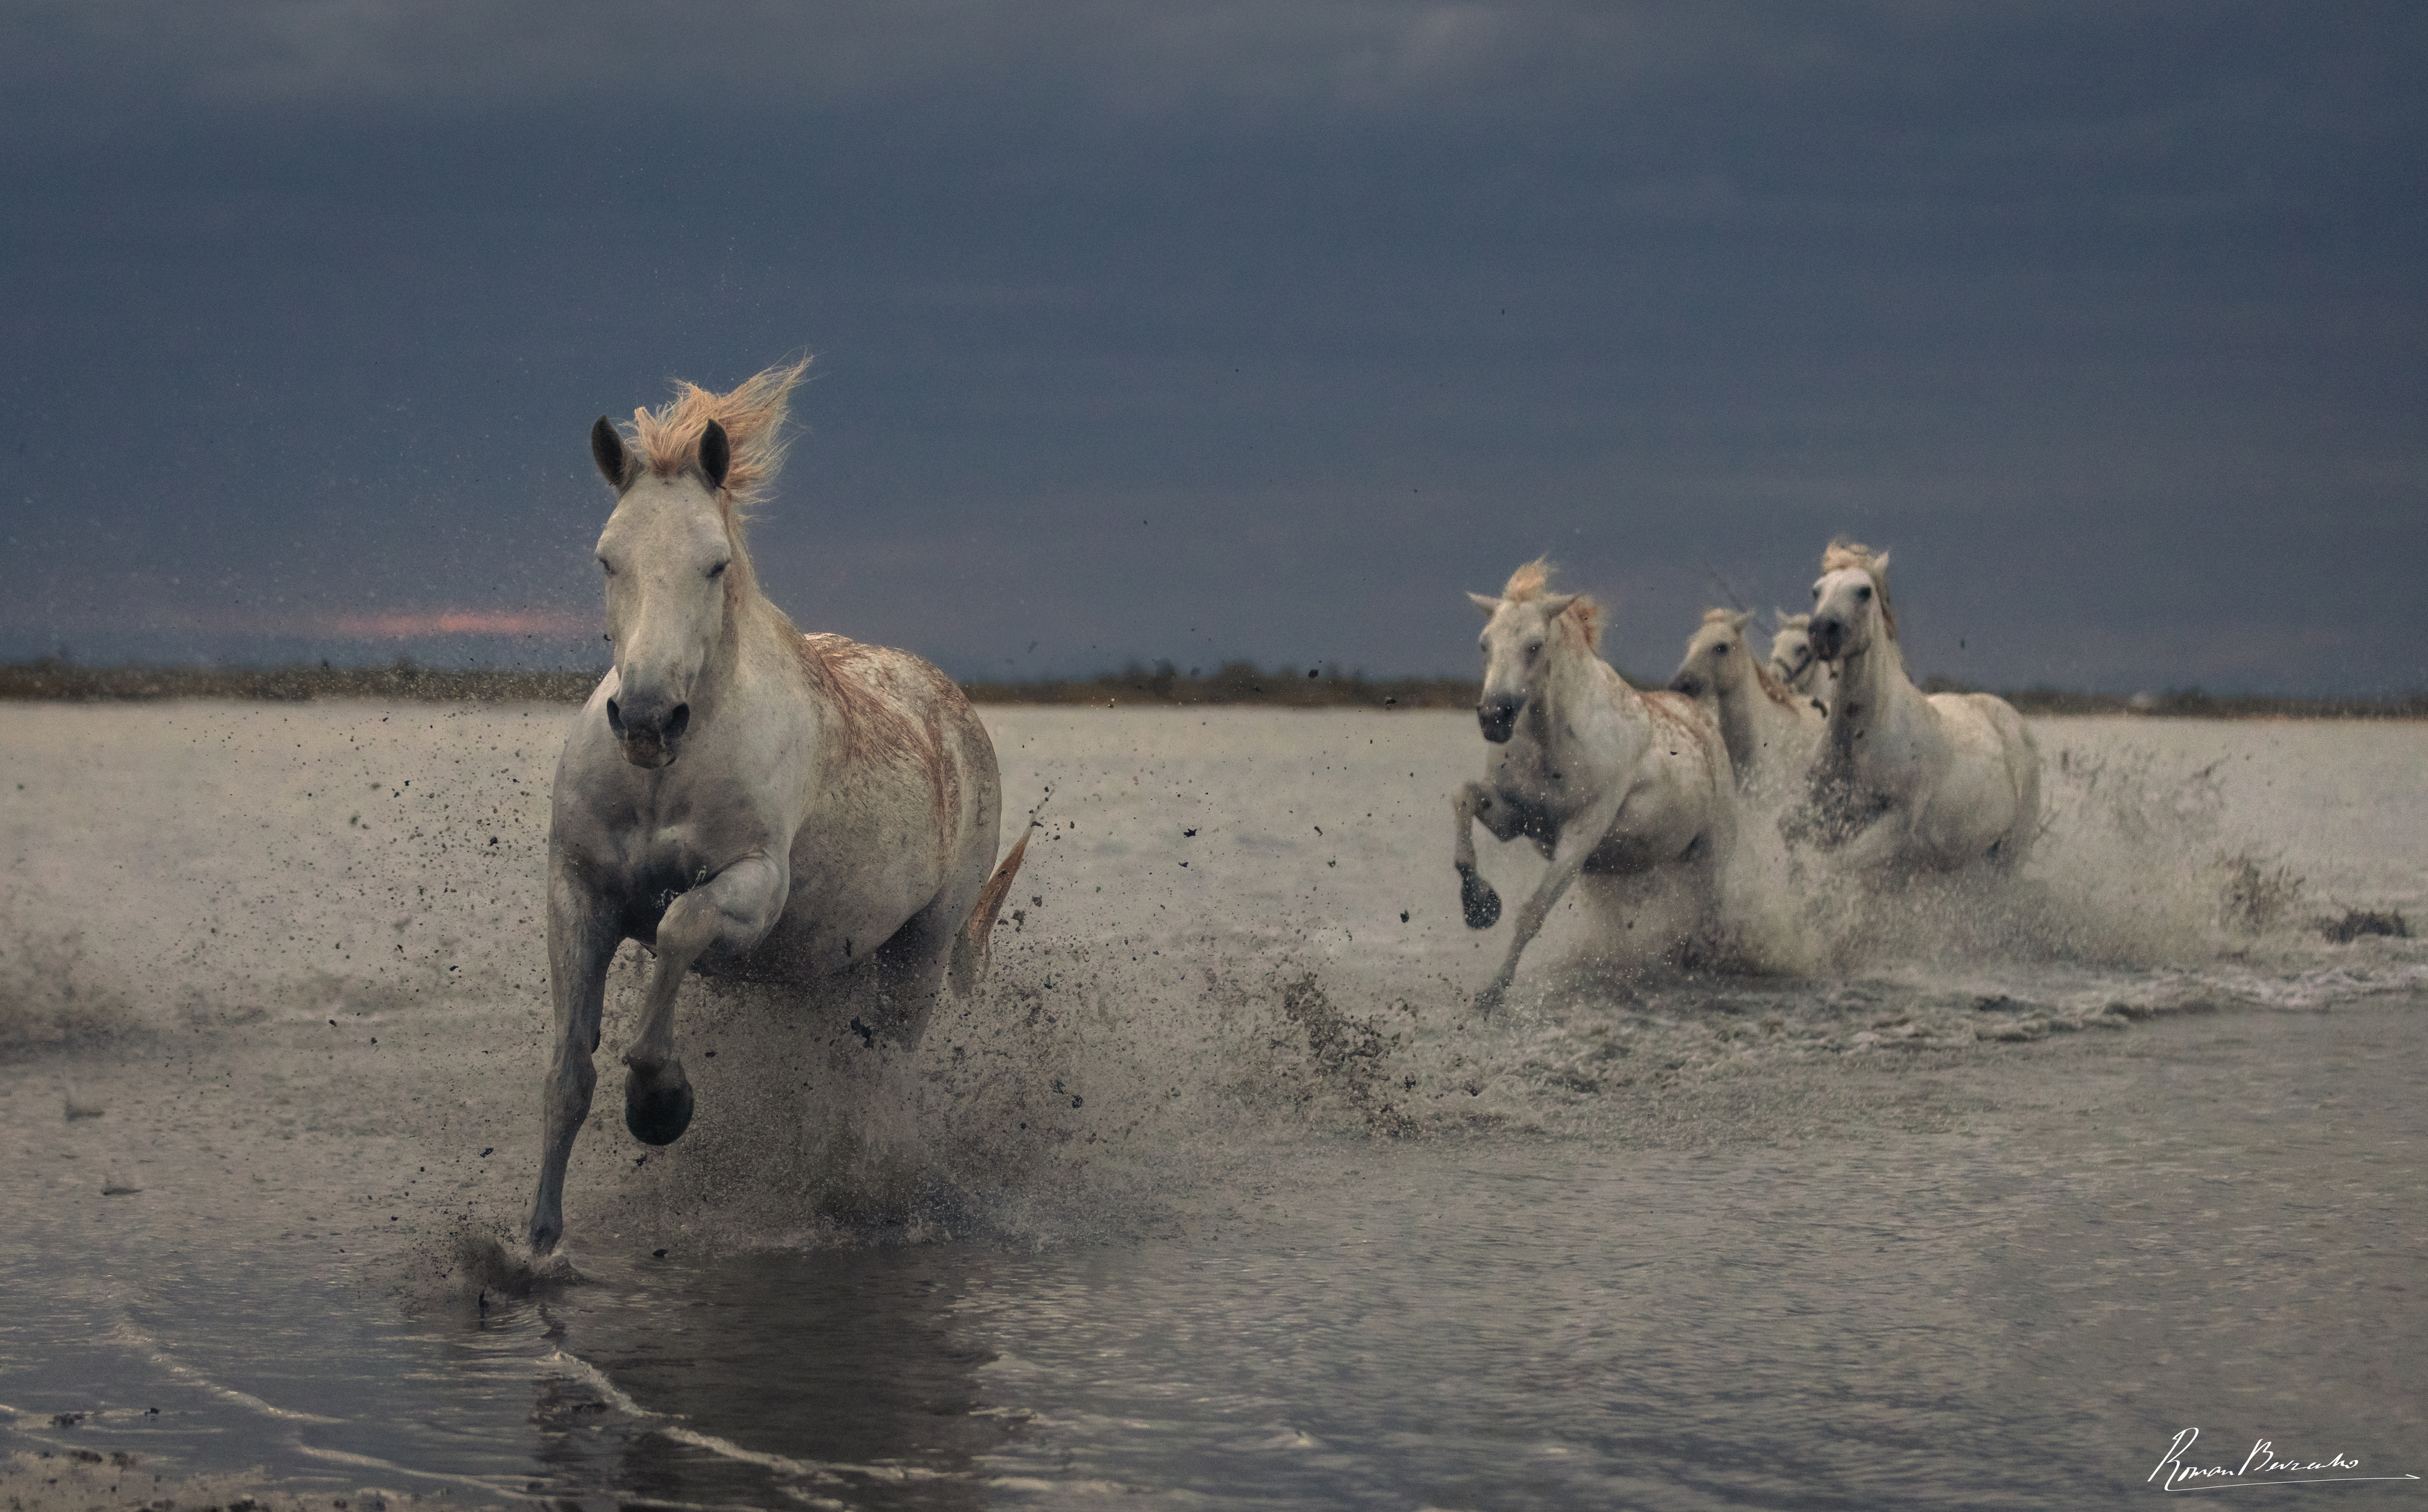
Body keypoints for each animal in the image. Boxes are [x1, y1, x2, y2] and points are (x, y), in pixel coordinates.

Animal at [527, 361, 1029, 1262]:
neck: (665, 779)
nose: (648, 719)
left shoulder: (753, 888)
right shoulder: (577, 891)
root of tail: (947, 698)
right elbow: (568, 1072)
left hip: (918, 954)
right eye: (607, 558)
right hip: (822, 970)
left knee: (881, 1083)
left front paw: (660, 1101)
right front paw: (539, 1243)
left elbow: (679, 927)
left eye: (714, 563)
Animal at [1447, 562, 1738, 1009]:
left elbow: (1532, 912)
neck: (1554, 744)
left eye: (1534, 646)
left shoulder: (1581, 833)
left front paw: (1494, 992)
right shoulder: (1516, 820)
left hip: (1709, 861)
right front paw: (1480, 905)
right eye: (1485, 644)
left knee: (1702, 924)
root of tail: (1705, 718)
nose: (1494, 716)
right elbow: (1464, 802)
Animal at [1797, 543, 2040, 873]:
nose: (1822, 632)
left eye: (1865, 591)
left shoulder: (1895, 825)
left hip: (2009, 856)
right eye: (1816, 591)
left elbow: (1838, 865)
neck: (1862, 736)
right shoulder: (1822, 819)